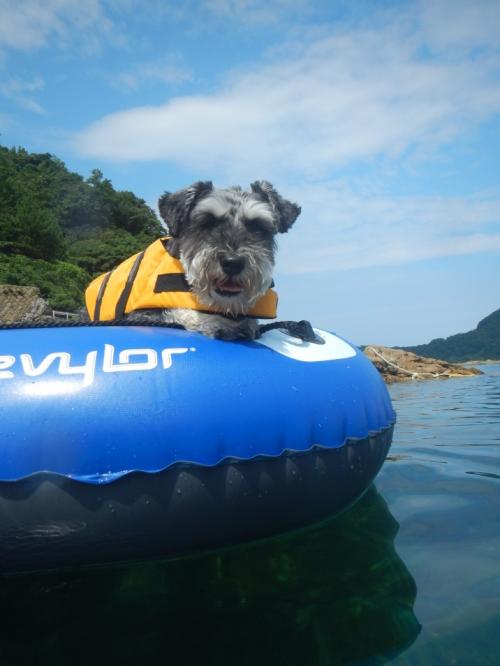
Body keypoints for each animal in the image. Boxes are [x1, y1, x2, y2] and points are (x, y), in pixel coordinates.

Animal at [84, 179, 298, 340]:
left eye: (258, 227)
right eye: (207, 222)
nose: (233, 263)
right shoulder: (140, 315)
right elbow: (180, 314)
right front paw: (216, 324)